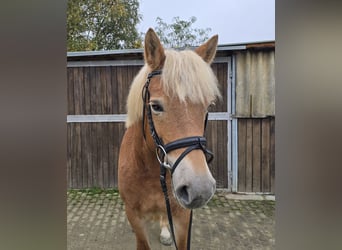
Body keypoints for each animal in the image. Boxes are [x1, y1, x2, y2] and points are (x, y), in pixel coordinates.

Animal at [118, 28, 222, 249]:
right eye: (155, 106)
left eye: (208, 106)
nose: (199, 189)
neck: (149, 170)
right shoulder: (135, 217)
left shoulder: (183, 218)